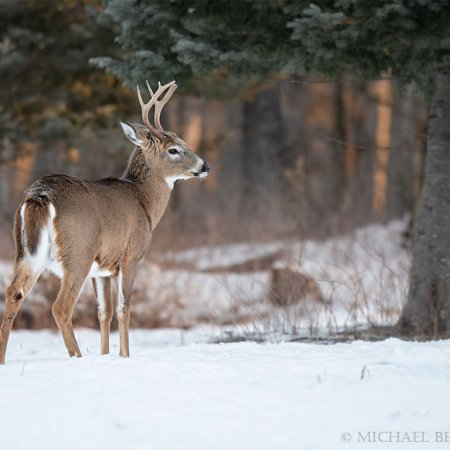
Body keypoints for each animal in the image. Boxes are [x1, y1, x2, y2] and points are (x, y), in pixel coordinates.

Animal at [0, 80, 210, 362]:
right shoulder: (131, 255)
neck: (144, 201)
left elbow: (104, 312)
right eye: (174, 150)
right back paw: (76, 356)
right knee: (61, 307)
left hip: (27, 252)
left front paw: (105, 356)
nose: (205, 166)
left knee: (14, 293)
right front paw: (125, 356)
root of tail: (40, 195)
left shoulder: (102, 269)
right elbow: (123, 308)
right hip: (78, 252)